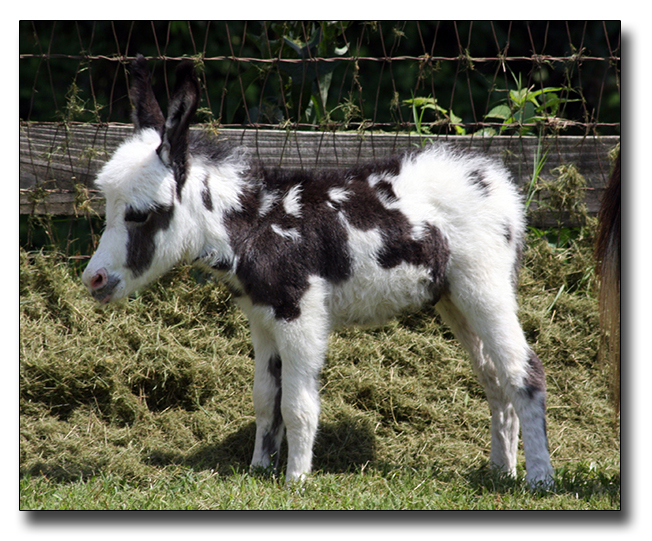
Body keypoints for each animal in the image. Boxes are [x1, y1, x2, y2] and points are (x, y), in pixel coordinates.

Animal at [82, 55, 554, 488]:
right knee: (494, 378)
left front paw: (296, 480)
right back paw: (501, 471)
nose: (93, 280)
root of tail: (498, 184)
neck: (254, 226)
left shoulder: (300, 315)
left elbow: (297, 405)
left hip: (484, 286)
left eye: (140, 215)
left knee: (524, 372)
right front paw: (259, 469)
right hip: (454, 298)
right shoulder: (262, 318)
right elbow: (264, 398)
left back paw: (539, 480)